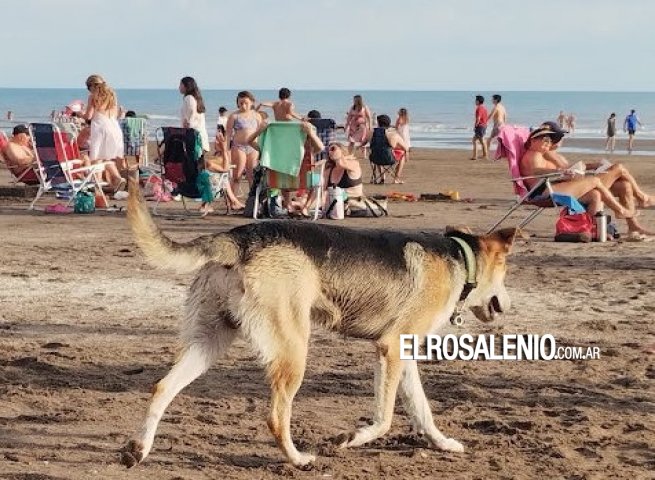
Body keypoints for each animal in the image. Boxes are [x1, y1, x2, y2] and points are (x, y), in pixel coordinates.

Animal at [119, 178, 516, 466]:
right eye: (506, 271)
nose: (508, 305)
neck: (460, 259)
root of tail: (237, 238)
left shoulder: (402, 358)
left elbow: (422, 410)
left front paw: (443, 443)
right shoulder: (390, 350)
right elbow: (384, 418)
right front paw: (351, 439)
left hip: (209, 343)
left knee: (162, 388)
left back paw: (138, 449)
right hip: (293, 352)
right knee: (276, 417)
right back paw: (298, 460)